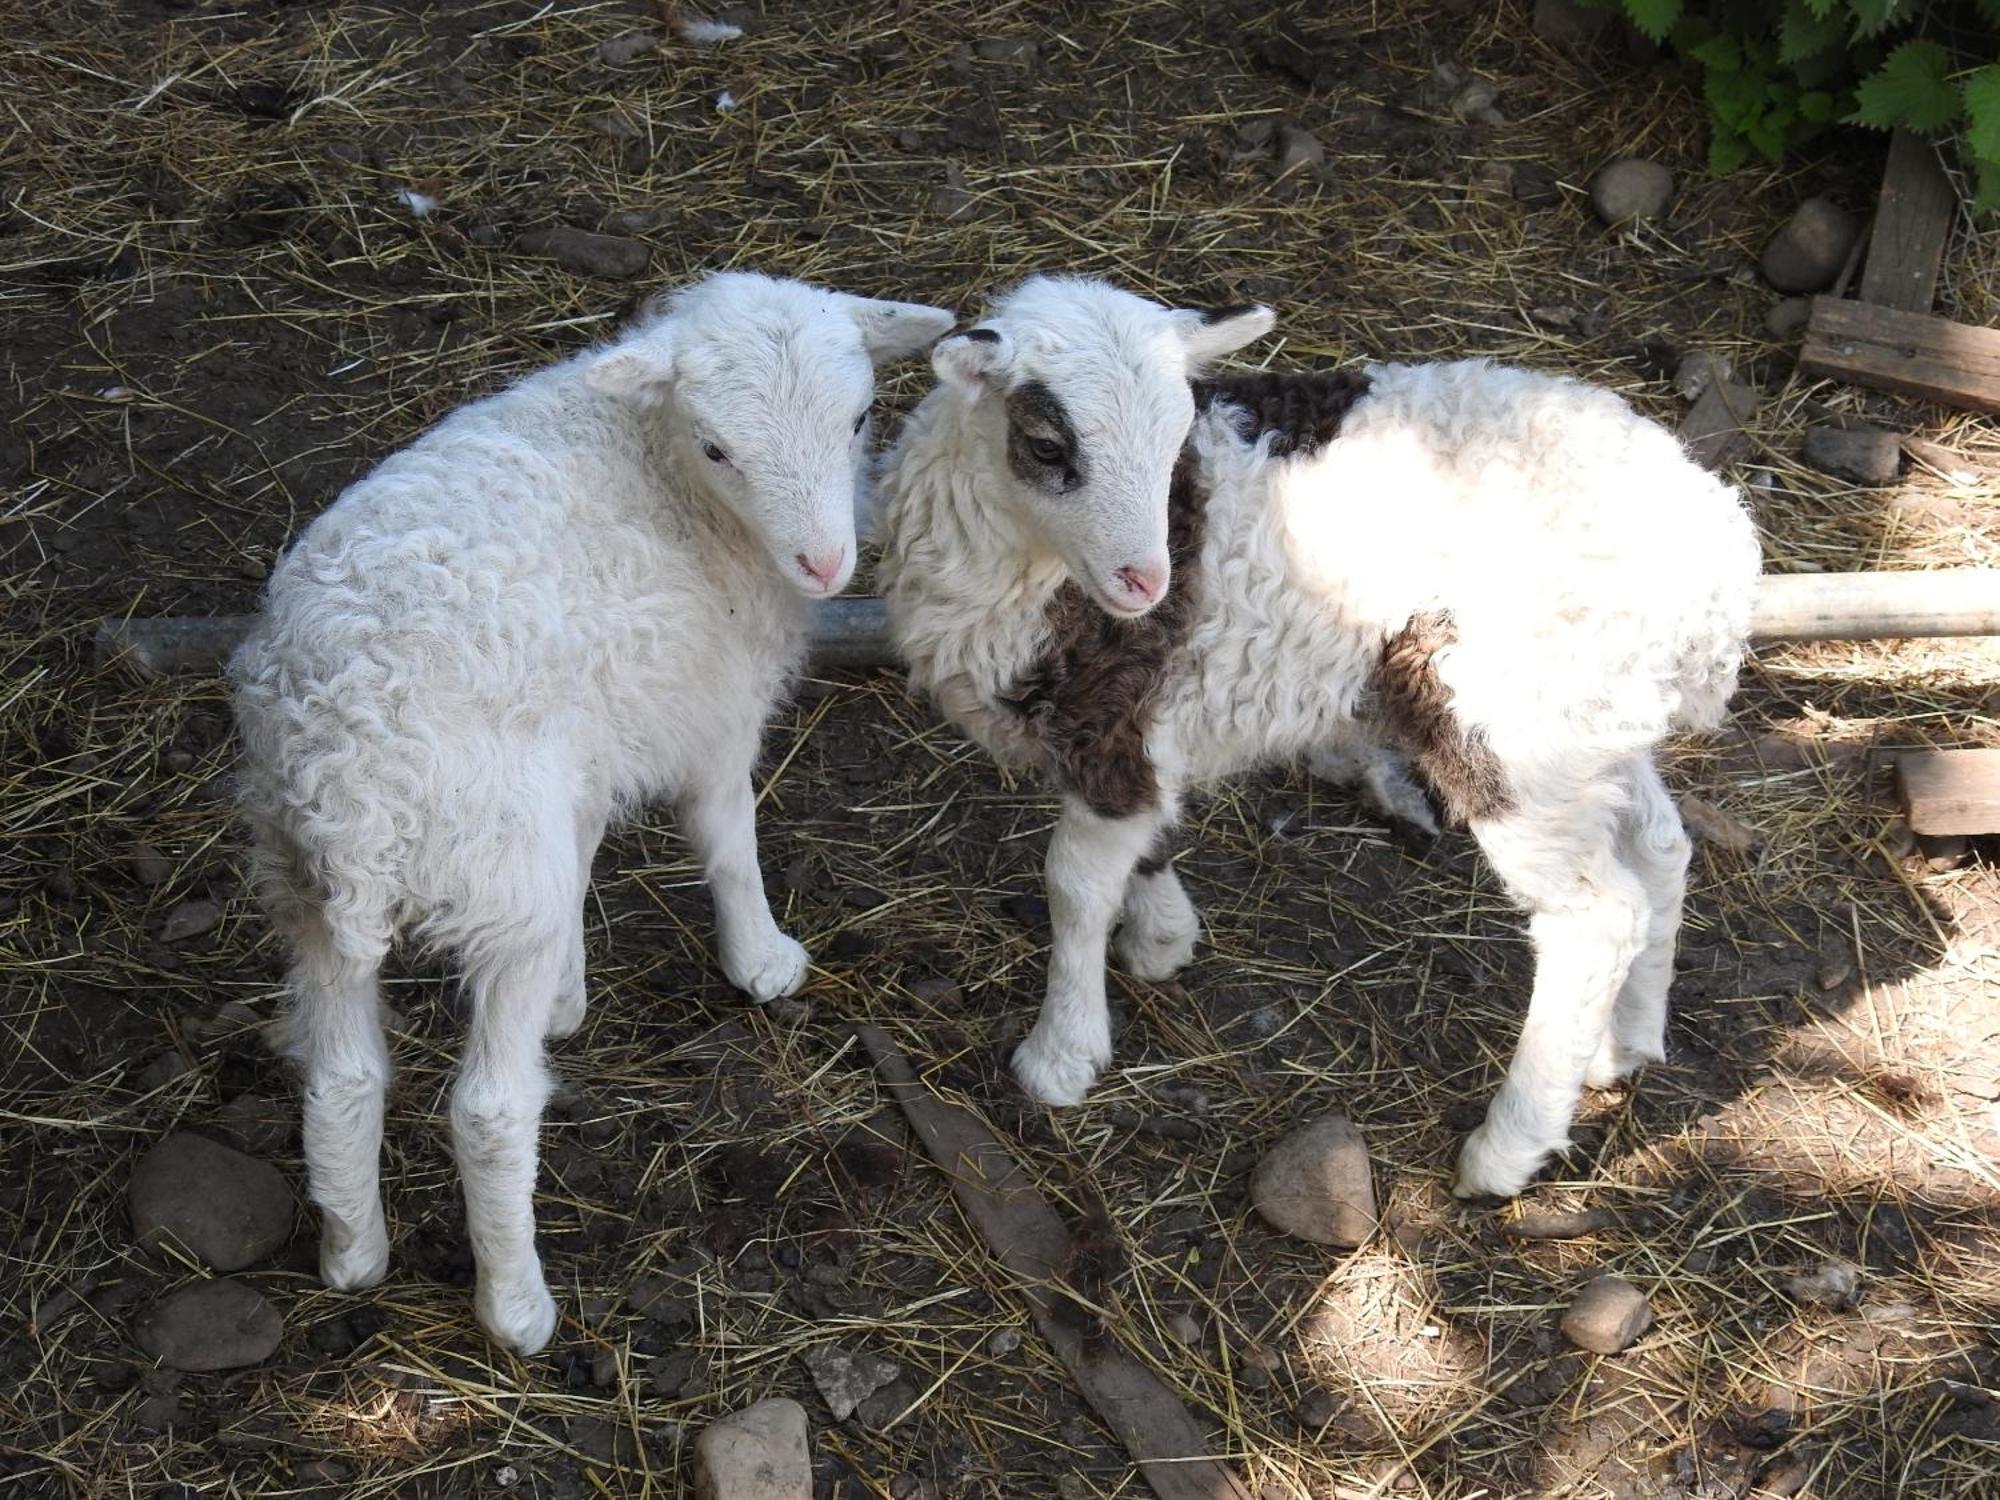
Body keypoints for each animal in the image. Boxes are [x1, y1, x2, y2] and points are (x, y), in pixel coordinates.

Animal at [234, 274, 952, 1360]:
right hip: (492, 880)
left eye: (861, 417)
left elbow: (581, 861)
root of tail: (355, 774)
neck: (659, 469)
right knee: (488, 1113)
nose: (826, 565)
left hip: (306, 883)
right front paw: (761, 961)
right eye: (716, 447)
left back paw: (354, 1256)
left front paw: (568, 1002)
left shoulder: (576, 758)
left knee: (343, 1078)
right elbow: (727, 838)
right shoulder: (711, 702)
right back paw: (516, 1308)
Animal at [884, 280, 1760, 1200]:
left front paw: (1061, 1054)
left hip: (1515, 734)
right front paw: (1162, 942)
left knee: (1594, 918)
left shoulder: (1112, 714)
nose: (1146, 581)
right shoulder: (1139, 724)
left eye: (1175, 442)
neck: (1023, 563)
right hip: (1596, 723)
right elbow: (1147, 837)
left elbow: (1075, 886)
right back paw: (1626, 1043)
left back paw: (1508, 1148)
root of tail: (1723, 571)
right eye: (1048, 445)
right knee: (1659, 847)